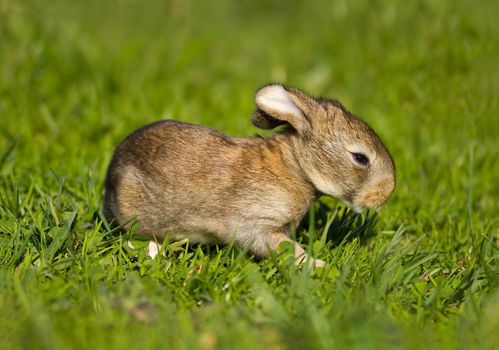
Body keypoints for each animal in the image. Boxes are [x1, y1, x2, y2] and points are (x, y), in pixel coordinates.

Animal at [103, 83, 396, 266]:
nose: (386, 192)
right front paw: (316, 264)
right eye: (360, 158)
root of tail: (111, 180)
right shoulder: (255, 224)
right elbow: (286, 247)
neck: (296, 167)